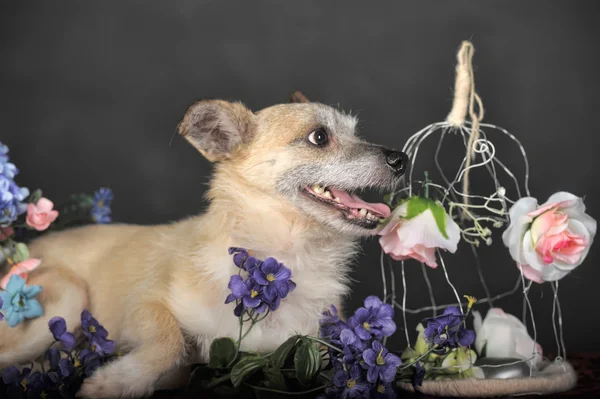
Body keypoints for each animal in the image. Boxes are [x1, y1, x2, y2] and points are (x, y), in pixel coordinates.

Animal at [0, 96, 408, 396]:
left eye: (356, 133)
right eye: (319, 138)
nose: (400, 159)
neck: (287, 258)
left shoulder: (317, 348)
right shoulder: (145, 305)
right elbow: (169, 341)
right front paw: (118, 381)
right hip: (66, 299)